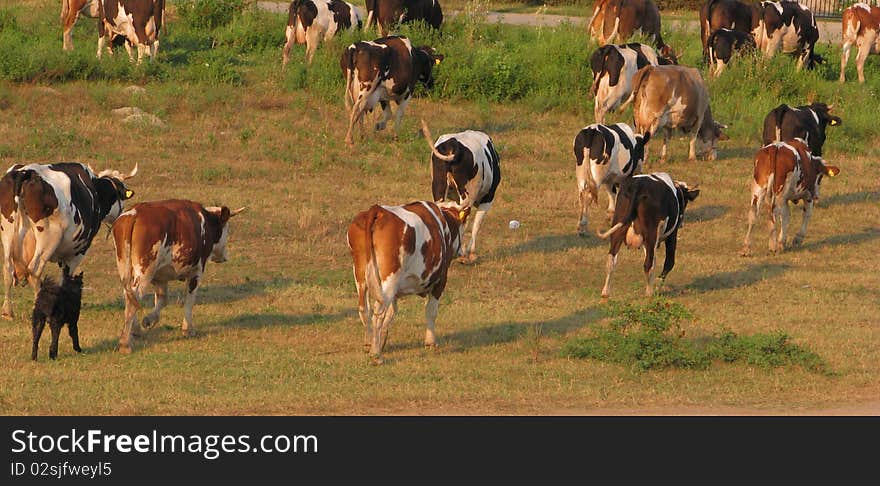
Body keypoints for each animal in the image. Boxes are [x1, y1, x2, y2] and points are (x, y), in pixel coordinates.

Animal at [0, 162, 138, 318]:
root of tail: (25, 172)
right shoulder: (78, 251)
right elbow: (65, 278)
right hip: (48, 238)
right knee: (34, 270)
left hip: (7, 232)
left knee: (8, 268)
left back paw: (7, 311)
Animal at [112, 197, 248, 354]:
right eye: (227, 229)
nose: (225, 257)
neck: (206, 220)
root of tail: (135, 214)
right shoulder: (196, 271)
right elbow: (189, 299)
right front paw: (188, 329)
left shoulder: (160, 277)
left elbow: (162, 300)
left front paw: (149, 320)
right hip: (145, 271)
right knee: (134, 296)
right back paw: (125, 343)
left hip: (125, 266)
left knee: (129, 295)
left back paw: (135, 330)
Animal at [346, 199, 468, 362]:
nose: (462, 252)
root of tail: (377, 210)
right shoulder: (440, 280)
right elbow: (431, 311)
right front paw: (430, 342)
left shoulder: (395, 290)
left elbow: (392, 312)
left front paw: (382, 340)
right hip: (390, 278)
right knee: (378, 312)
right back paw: (376, 355)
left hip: (361, 275)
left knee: (364, 308)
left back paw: (369, 344)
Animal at [422, 118, 502, 262]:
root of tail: (453, 144)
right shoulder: (488, 198)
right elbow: (477, 223)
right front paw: (471, 252)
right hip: (468, 191)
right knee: (465, 216)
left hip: (439, 186)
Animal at [596, 172, 696, 300]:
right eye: (686, 202)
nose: (682, 224)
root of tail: (638, 186)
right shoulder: (671, 235)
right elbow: (669, 262)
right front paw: (658, 284)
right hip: (651, 233)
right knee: (648, 263)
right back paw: (649, 293)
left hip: (618, 229)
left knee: (611, 260)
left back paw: (605, 293)